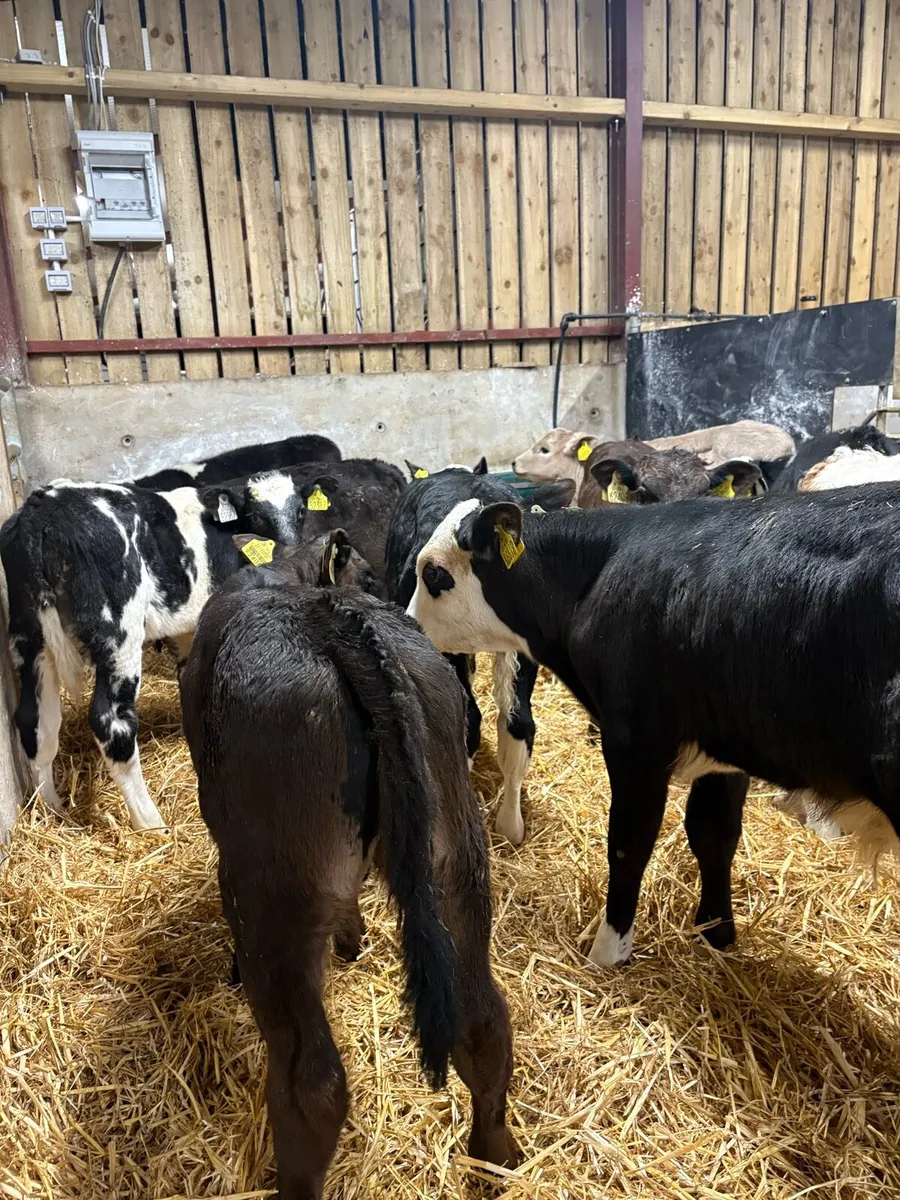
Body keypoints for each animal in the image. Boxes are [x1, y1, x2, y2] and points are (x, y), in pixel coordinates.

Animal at [0, 471, 329, 832]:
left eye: (300, 511)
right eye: (256, 516)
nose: (291, 548)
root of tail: (42, 509)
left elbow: (187, 677)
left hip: (28, 630)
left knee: (34, 718)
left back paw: (51, 809)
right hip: (120, 630)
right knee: (110, 721)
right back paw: (151, 823)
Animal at [180, 572, 519, 1196]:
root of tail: (329, 617)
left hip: (275, 904)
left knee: (312, 1085)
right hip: (455, 864)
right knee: (483, 1023)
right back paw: (495, 1157)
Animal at [405, 487, 900, 970]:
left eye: (433, 573)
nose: (408, 626)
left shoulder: (635, 741)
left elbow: (629, 843)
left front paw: (607, 954)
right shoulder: (723, 748)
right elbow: (714, 833)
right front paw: (715, 934)